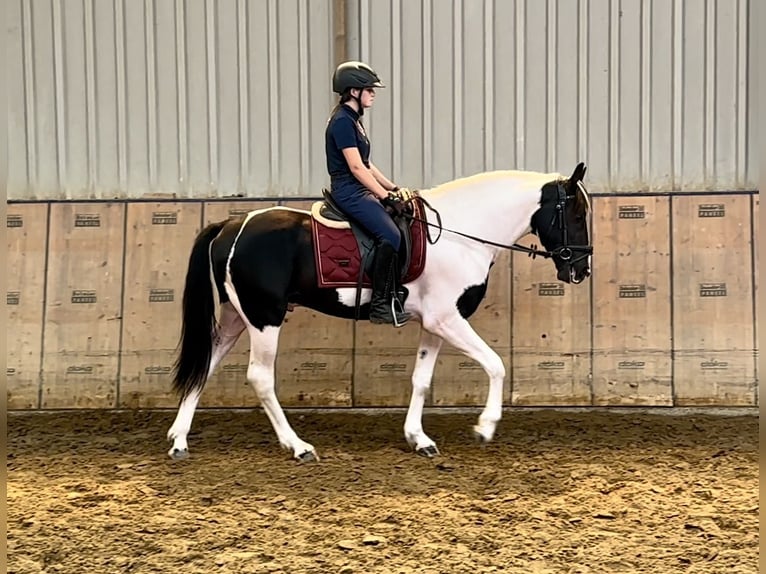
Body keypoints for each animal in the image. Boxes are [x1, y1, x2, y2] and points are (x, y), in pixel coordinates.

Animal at [166, 162, 592, 464]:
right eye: (575, 215)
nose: (580, 271)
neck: (460, 234)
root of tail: (231, 224)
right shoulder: (448, 320)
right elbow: (496, 365)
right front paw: (485, 428)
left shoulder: (434, 324)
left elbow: (421, 379)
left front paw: (419, 439)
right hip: (264, 317)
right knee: (259, 377)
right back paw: (299, 446)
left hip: (238, 318)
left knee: (206, 363)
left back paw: (179, 440)